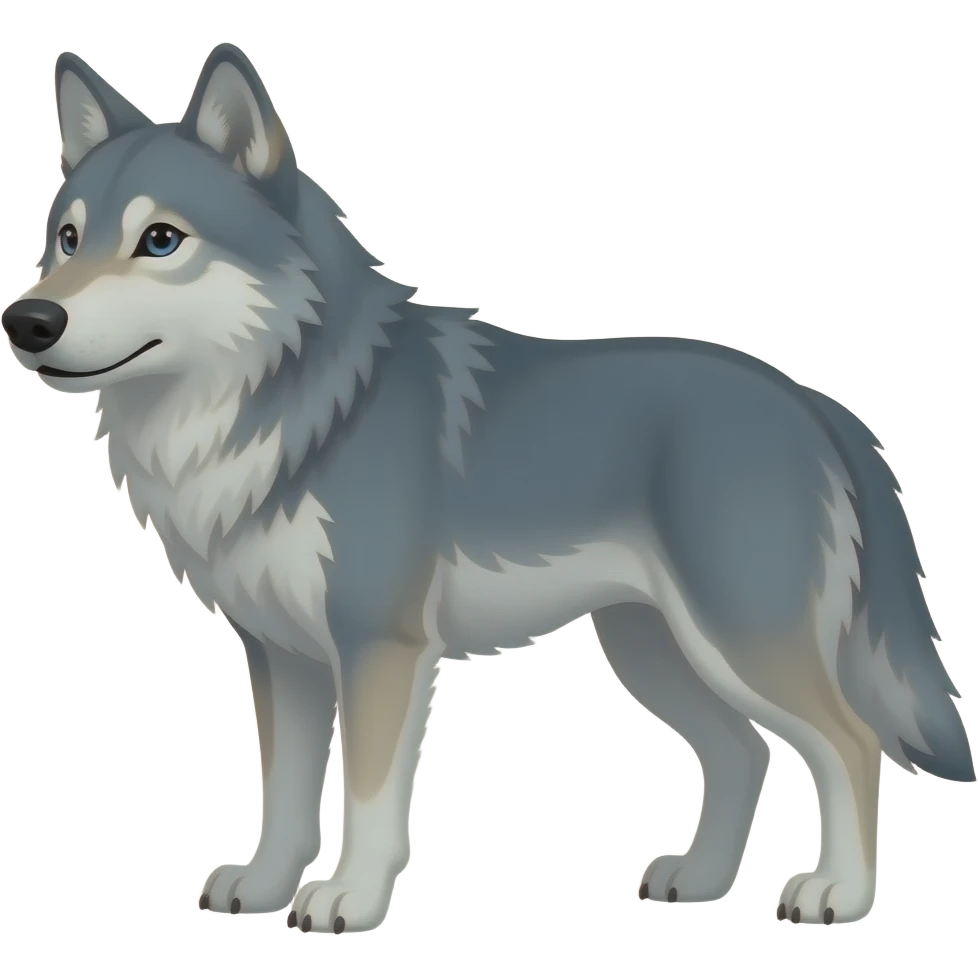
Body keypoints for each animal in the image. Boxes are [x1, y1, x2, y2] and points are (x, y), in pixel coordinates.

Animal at [2, 43, 972, 934]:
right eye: (67, 240)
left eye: (160, 240)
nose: (28, 320)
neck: (290, 407)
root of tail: (814, 403)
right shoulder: (281, 655)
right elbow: (284, 795)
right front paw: (266, 888)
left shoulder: (379, 650)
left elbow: (368, 799)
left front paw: (350, 900)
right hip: (655, 651)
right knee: (744, 753)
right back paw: (698, 881)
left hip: (737, 643)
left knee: (850, 745)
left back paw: (837, 894)